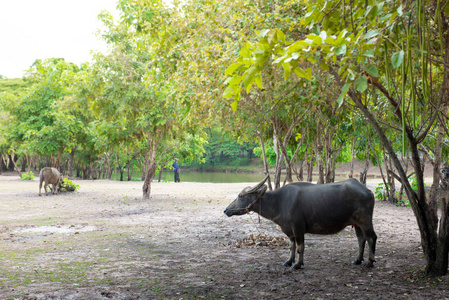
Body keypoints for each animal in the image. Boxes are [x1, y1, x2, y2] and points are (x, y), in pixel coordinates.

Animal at [223, 176, 374, 270]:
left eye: (240, 196)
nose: (226, 210)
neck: (279, 202)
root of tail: (367, 190)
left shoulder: (298, 228)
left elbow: (300, 247)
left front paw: (297, 264)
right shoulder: (289, 230)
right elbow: (292, 246)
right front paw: (289, 261)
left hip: (365, 221)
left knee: (371, 238)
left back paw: (369, 262)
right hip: (357, 224)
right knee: (361, 239)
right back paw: (358, 260)